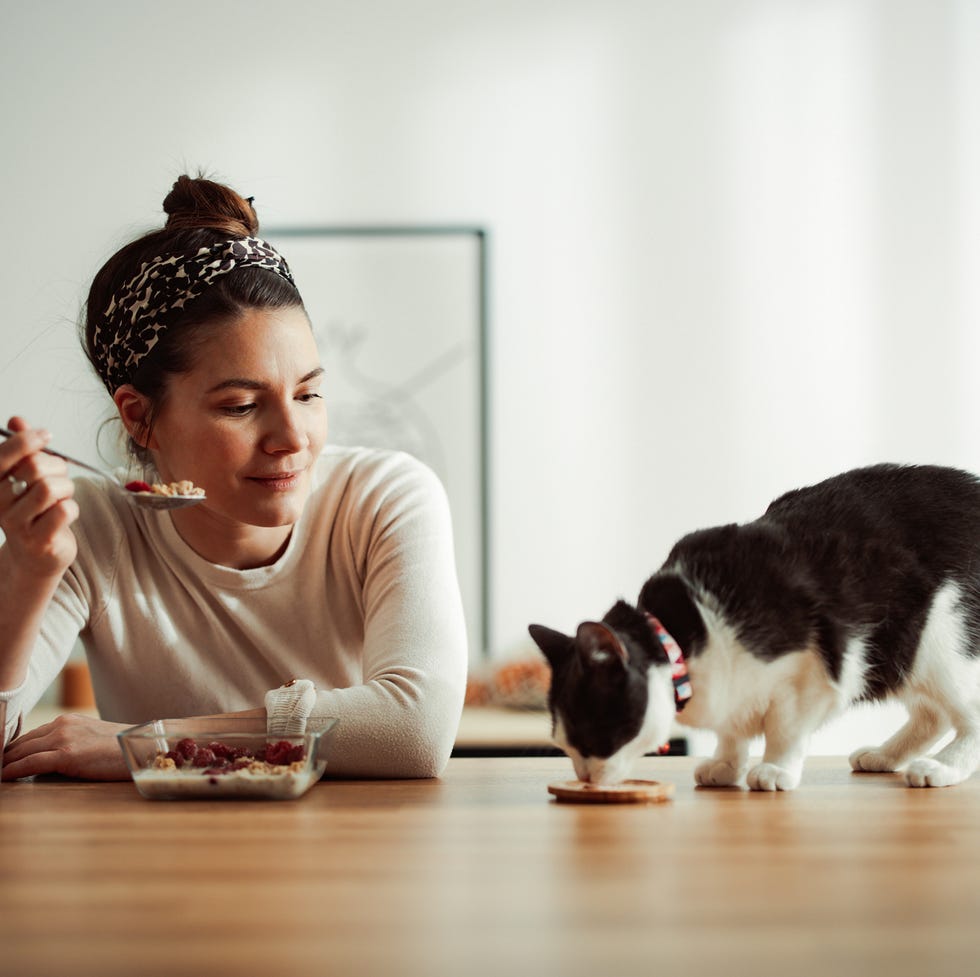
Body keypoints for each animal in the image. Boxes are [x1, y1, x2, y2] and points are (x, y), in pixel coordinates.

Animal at [528, 462, 980, 788]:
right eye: (563, 743)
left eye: (591, 734)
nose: (584, 778)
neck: (688, 638)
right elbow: (732, 729)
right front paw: (726, 765)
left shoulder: (809, 676)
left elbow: (785, 729)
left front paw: (776, 769)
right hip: (906, 658)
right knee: (932, 716)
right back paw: (886, 757)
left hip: (940, 641)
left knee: (968, 714)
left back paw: (941, 768)